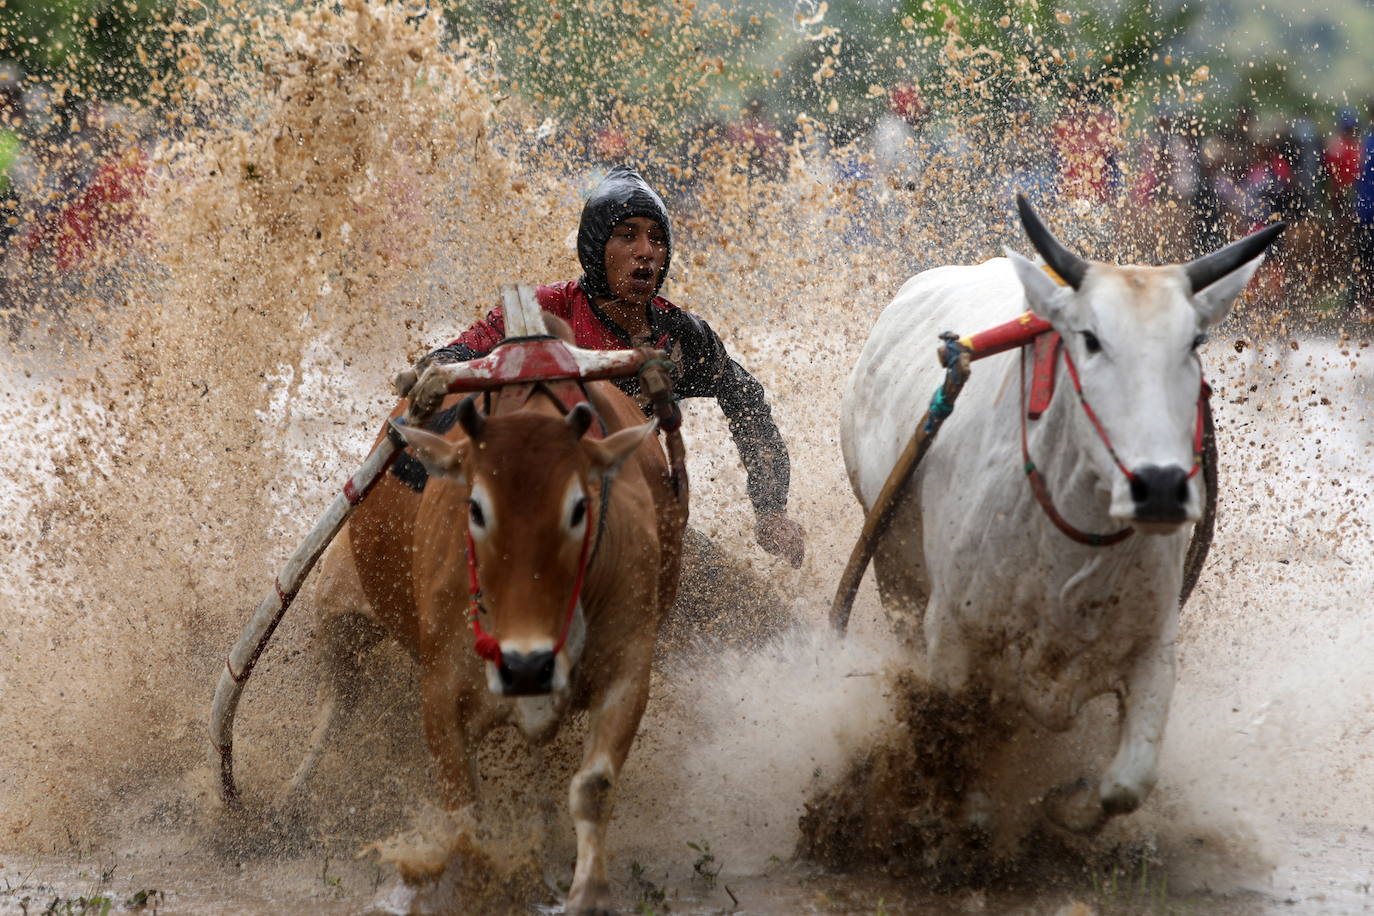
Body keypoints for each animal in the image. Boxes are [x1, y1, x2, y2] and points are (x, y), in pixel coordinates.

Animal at [296, 357, 692, 911]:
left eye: (580, 507)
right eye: (476, 508)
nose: (526, 664)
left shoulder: (629, 667)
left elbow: (593, 788)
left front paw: (586, 892)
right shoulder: (441, 693)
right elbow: (464, 817)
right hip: (338, 610)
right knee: (336, 700)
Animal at [840, 197, 1280, 834]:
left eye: (1195, 340)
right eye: (1090, 339)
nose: (1160, 487)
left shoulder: (1152, 645)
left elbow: (1127, 785)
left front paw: (1067, 806)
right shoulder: (952, 637)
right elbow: (962, 768)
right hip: (895, 575)